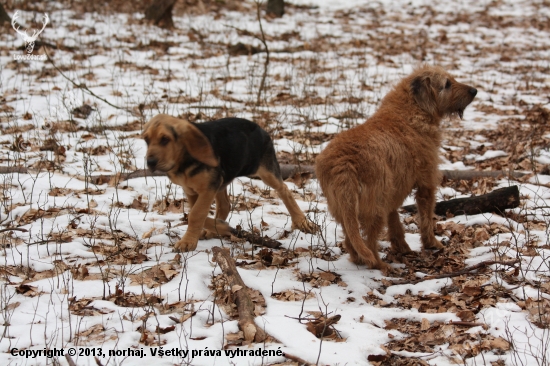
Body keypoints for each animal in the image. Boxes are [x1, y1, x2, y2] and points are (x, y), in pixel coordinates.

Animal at [142, 113, 320, 252]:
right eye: (146, 140)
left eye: (165, 139)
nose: (150, 162)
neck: (183, 160)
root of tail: (260, 128)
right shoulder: (192, 189)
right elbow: (197, 213)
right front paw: (217, 227)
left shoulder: (208, 188)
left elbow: (195, 214)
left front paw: (188, 242)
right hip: (222, 179)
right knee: (225, 205)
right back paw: (215, 229)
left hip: (265, 170)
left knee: (284, 190)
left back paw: (301, 222)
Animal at [316, 66, 476, 272]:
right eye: (447, 84)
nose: (474, 91)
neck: (411, 108)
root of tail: (343, 163)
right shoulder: (426, 184)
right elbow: (426, 218)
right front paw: (432, 244)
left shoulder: (392, 193)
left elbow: (395, 222)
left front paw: (402, 247)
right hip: (374, 207)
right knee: (370, 241)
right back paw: (380, 264)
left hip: (344, 208)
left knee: (351, 240)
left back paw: (359, 259)